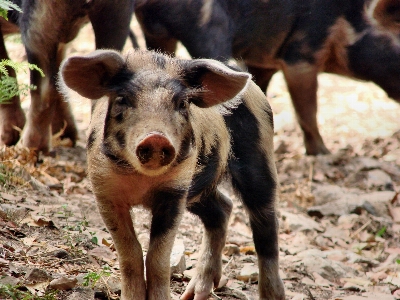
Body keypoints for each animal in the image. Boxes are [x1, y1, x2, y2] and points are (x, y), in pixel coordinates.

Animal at [58, 49, 284, 300]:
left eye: (182, 103)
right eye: (122, 99)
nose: (156, 137)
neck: (142, 182)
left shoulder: (174, 191)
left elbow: (158, 258)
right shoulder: (105, 192)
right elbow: (130, 254)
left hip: (259, 157)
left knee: (266, 226)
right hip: (199, 191)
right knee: (222, 209)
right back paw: (194, 295)